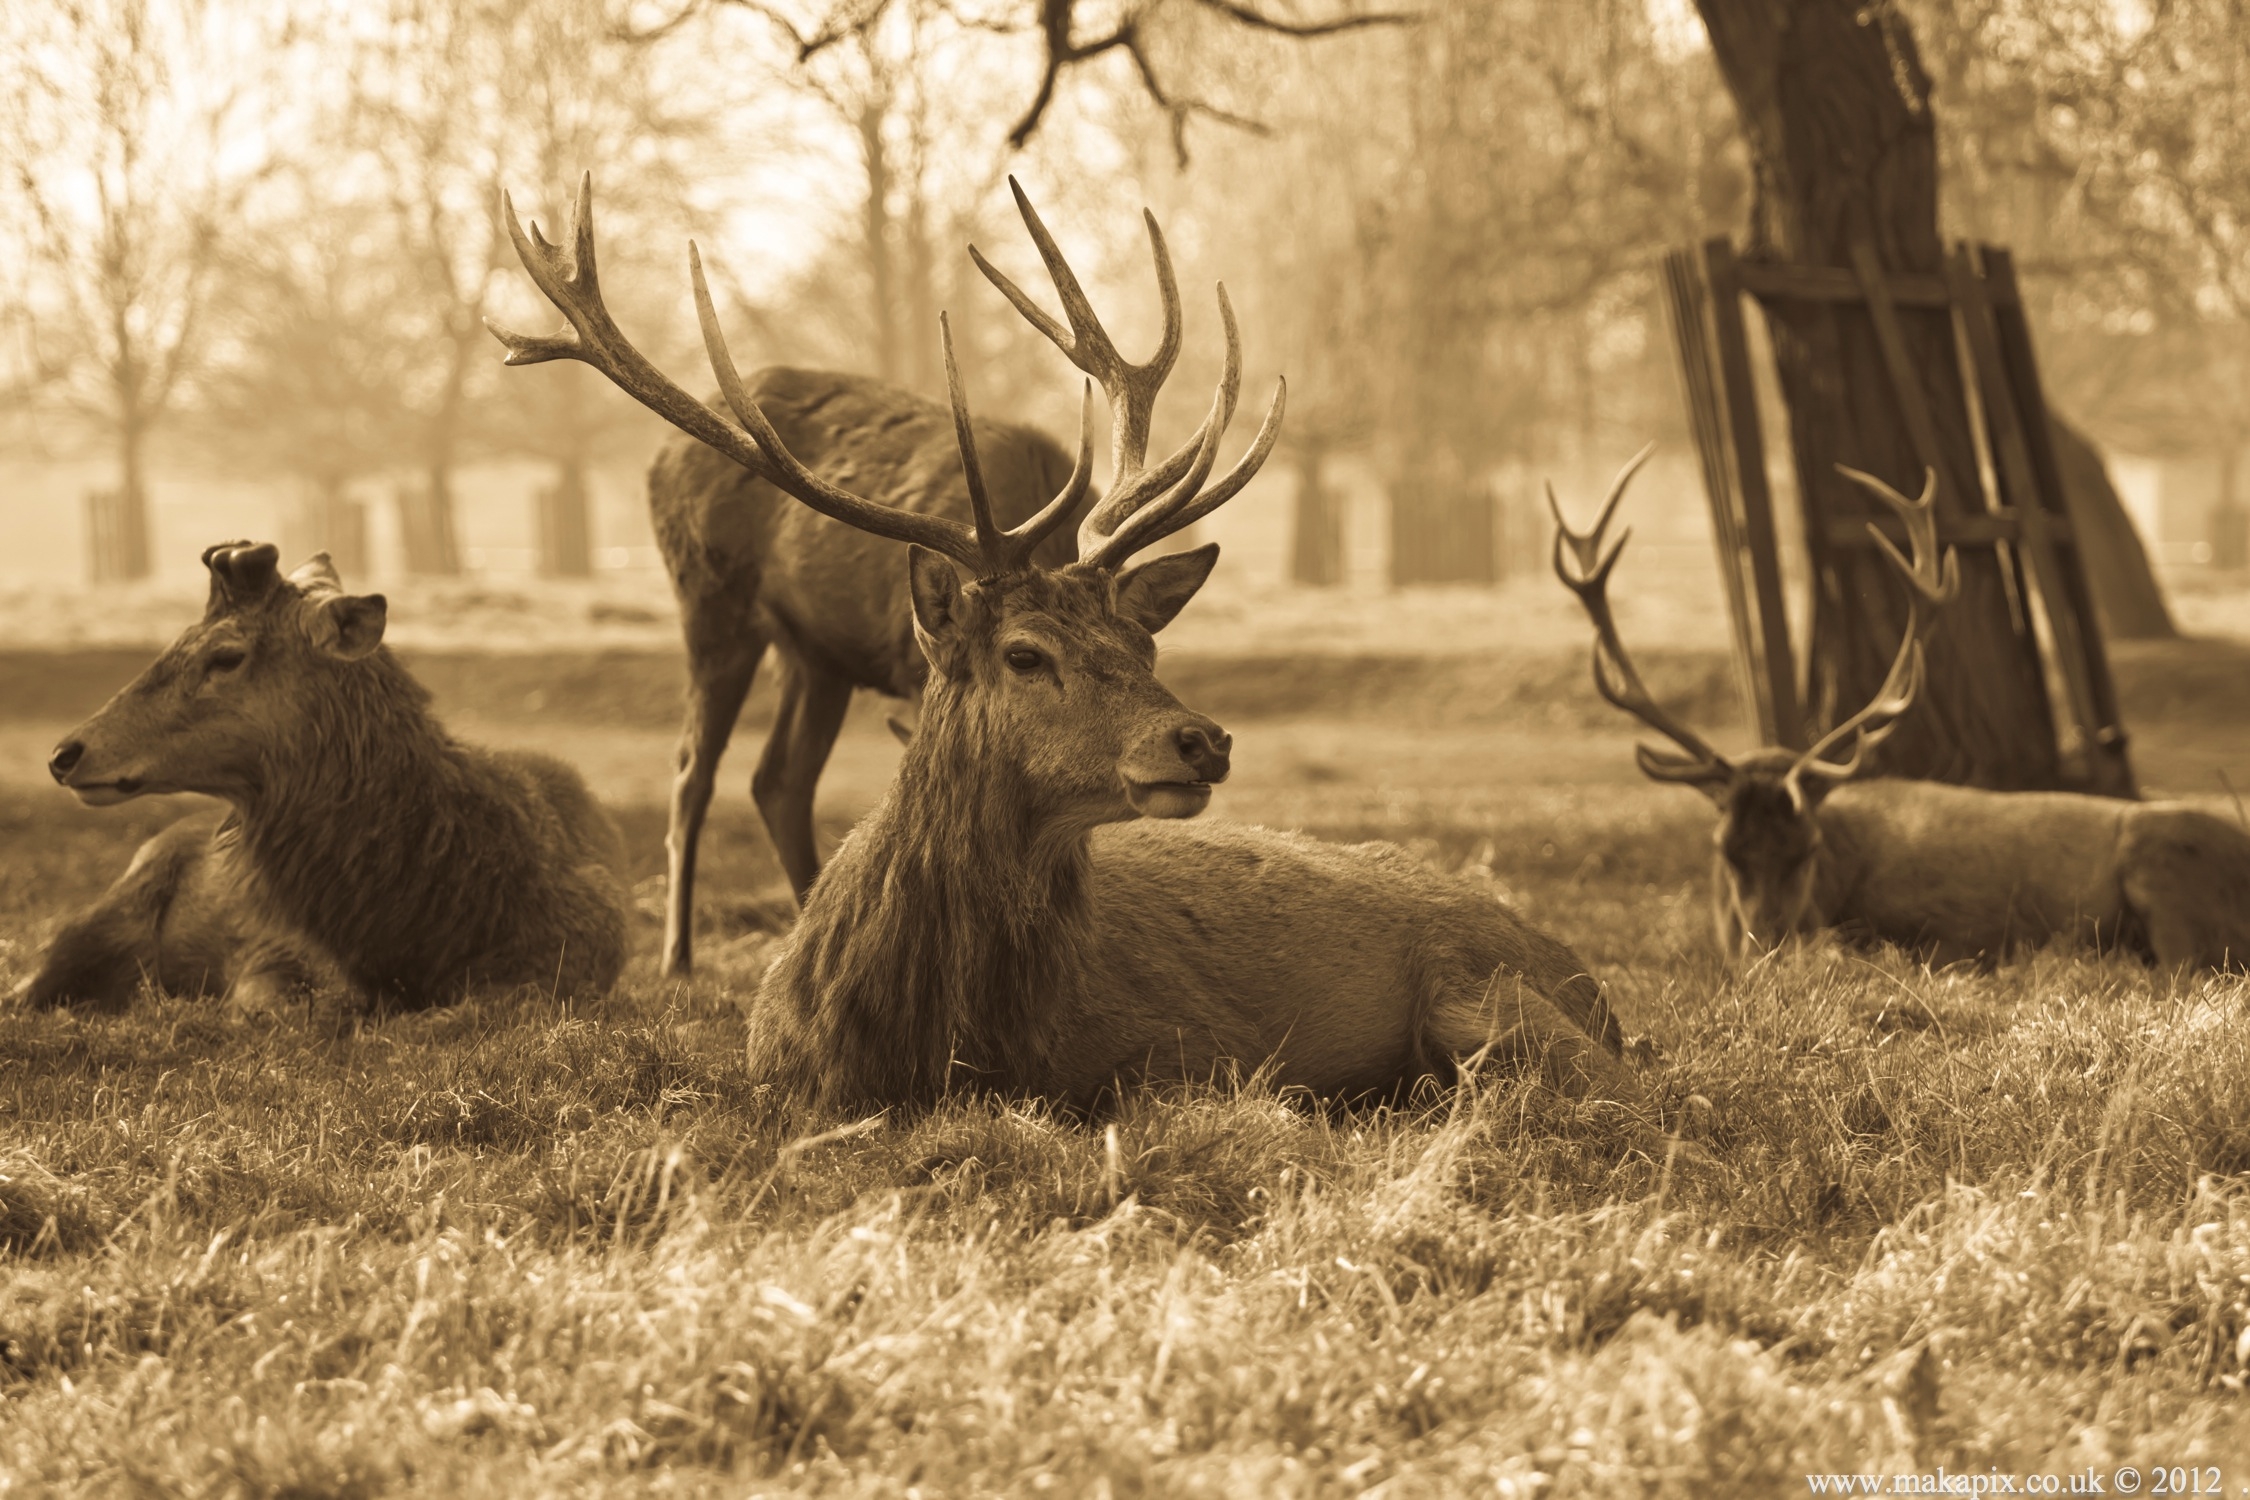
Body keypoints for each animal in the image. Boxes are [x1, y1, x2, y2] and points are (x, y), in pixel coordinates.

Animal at [492, 176, 1656, 1115]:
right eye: (1025, 653)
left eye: (1143, 647)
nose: (1201, 742)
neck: (932, 1045)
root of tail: (1587, 980)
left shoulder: (1185, 1060)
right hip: (727, 614)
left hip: (1497, 1007)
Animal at [1548, 445, 2250, 976]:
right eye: (1725, 849)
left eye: (1806, 848)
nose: (1769, 950)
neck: (1838, 875)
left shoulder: (1949, 925)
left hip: (2166, 866)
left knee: (2184, 969)